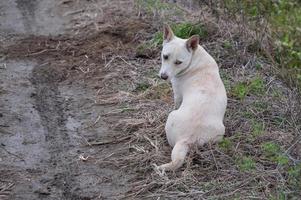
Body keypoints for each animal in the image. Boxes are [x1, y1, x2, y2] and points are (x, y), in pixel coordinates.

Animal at [157, 24, 225, 171]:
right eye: (165, 56)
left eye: (178, 62)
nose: (163, 77)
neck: (194, 58)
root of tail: (185, 139)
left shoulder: (177, 94)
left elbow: (176, 102)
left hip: (172, 115)